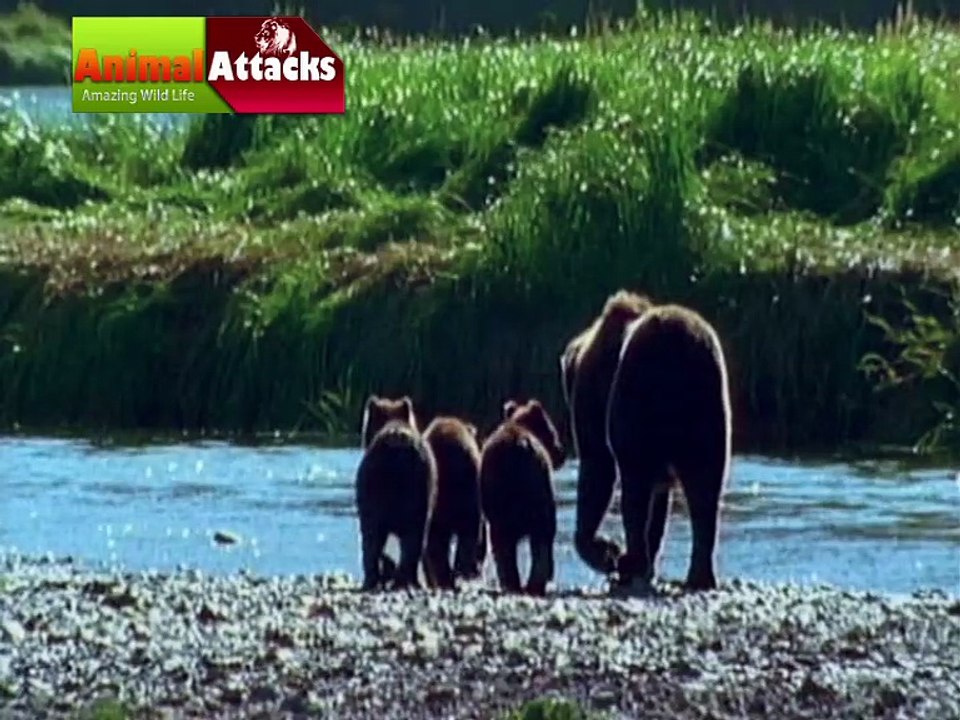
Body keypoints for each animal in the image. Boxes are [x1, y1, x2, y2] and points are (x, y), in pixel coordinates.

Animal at [479, 399, 566, 596]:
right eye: (552, 431)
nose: (561, 452)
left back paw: (516, 583)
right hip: (535, 489)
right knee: (539, 536)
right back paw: (531, 583)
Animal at [560, 290, 732, 592]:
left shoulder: (593, 397)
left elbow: (597, 468)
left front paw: (607, 551)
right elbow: (660, 496)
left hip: (640, 395)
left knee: (634, 483)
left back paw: (631, 562)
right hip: (708, 409)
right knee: (706, 488)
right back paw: (699, 575)